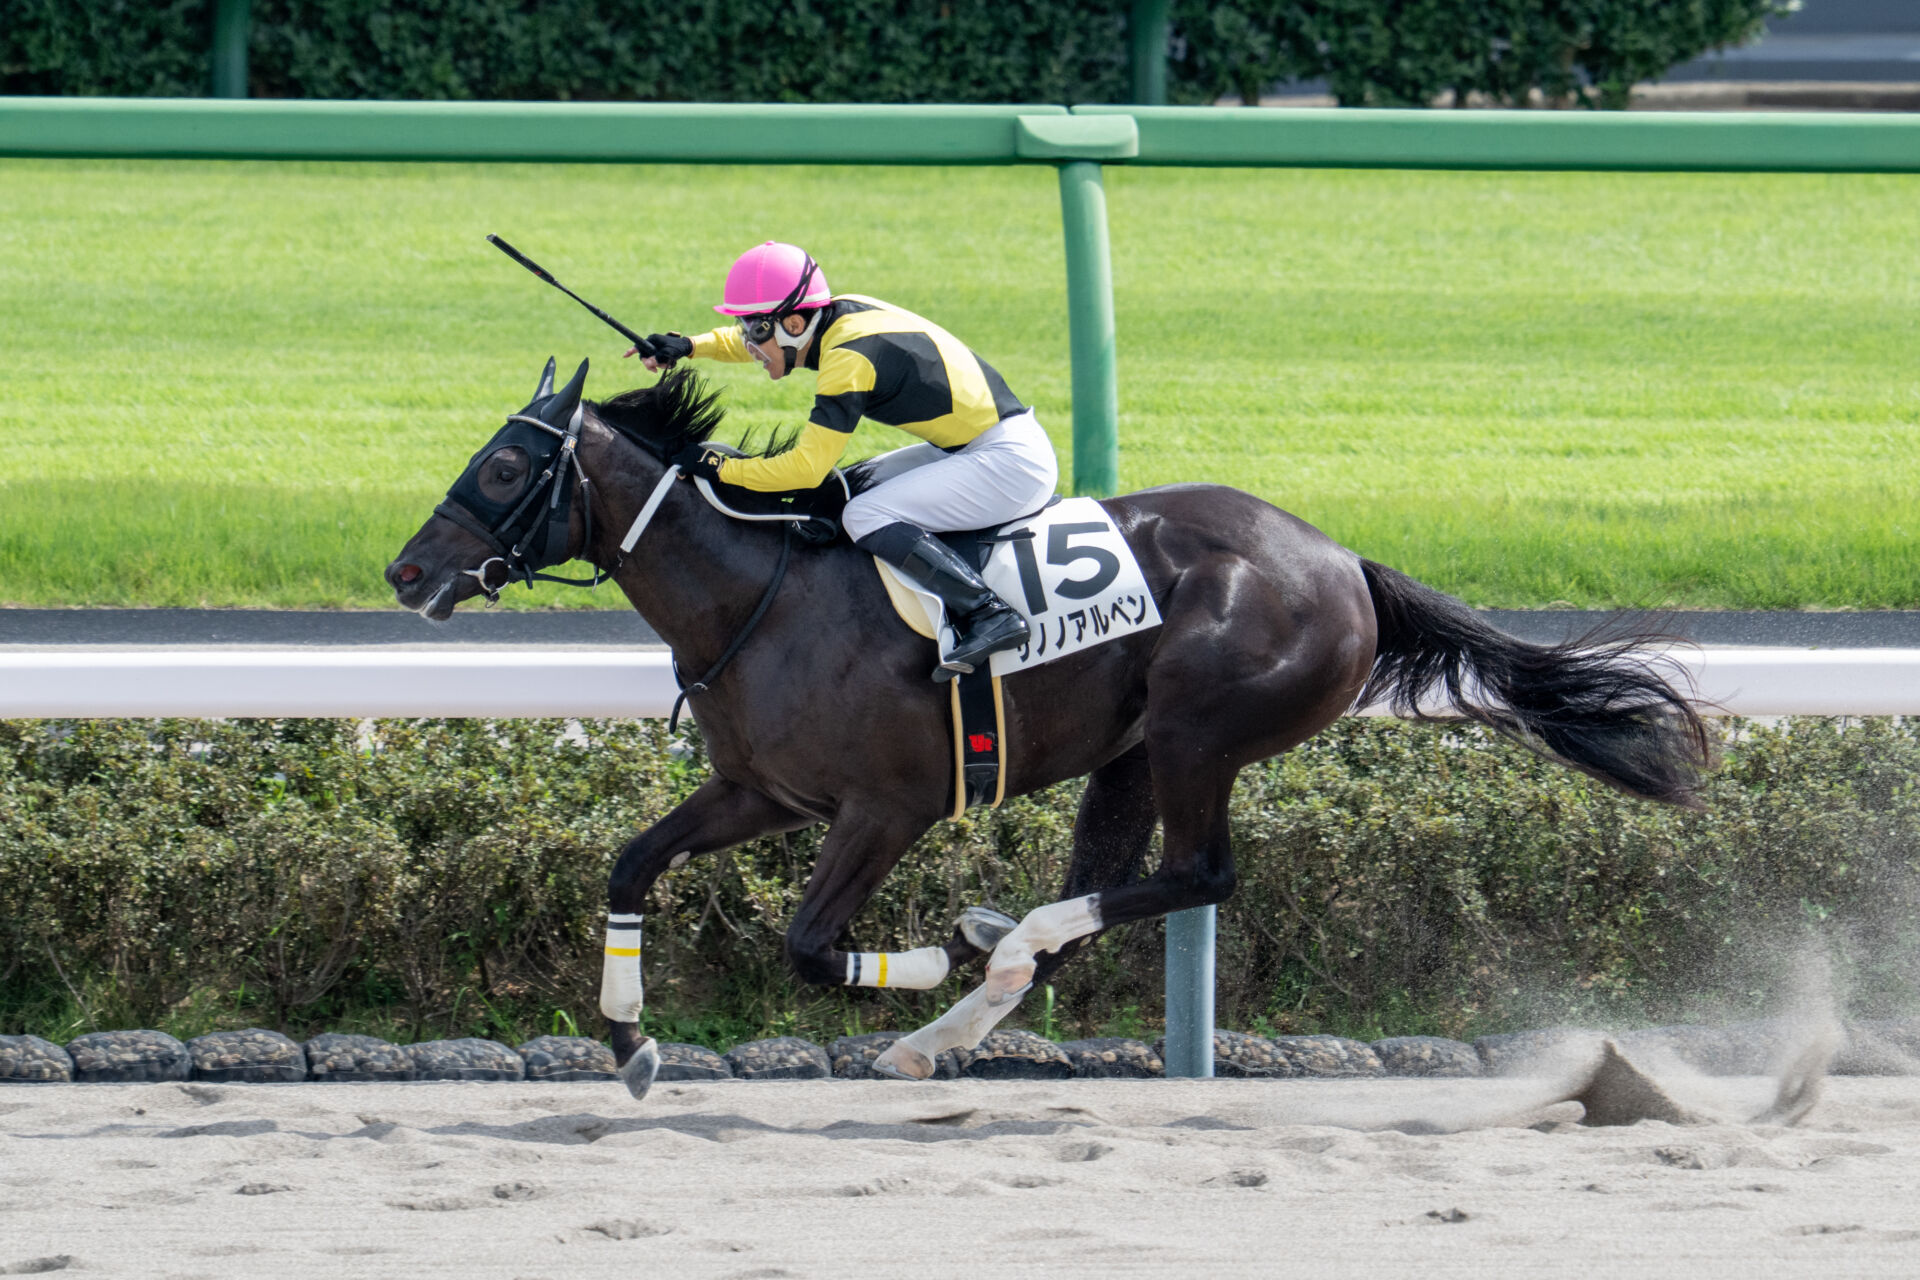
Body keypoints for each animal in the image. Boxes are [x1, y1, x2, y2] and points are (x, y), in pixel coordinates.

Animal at [387, 359, 1711, 1096]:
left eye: (502, 467)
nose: (407, 570)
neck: (762, 592)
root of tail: (1345, 564)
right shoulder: (762, 788)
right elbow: (629, 865)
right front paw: (630, 1045)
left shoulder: (886, 805)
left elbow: (810, 945)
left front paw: (923, 961)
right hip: (1127, 750)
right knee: (1111, 884)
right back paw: (968, 996)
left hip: (1196, 732)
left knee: (1196, 873)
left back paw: (983, 958)